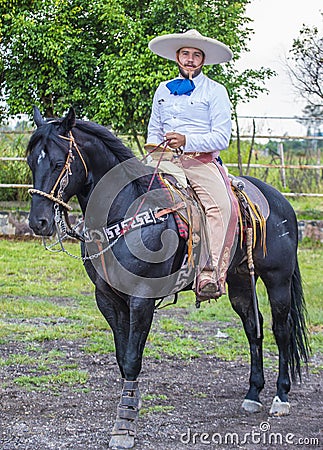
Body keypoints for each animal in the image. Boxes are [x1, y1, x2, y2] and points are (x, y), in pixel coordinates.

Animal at [27, 107, 308, 448]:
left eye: (58, 163)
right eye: (31, 162)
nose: (38, 222)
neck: (126, 213)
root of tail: (280, 201)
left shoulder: (141, 299)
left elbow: (132, 358)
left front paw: (124, 426)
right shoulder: (108, 299)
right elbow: (122, 357)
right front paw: (131, 405)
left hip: (278, 278)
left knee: (282, 331)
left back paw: (281, 397)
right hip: (241, 280)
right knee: (254, 329)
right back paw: (253, 394)